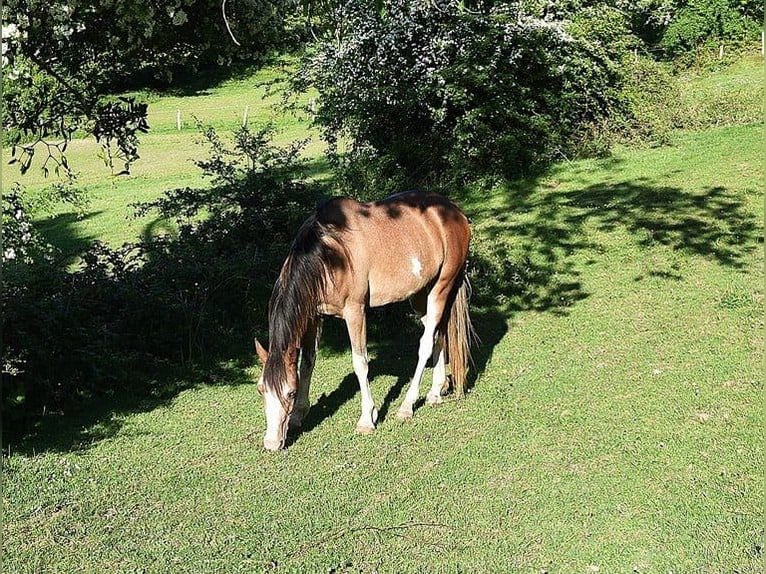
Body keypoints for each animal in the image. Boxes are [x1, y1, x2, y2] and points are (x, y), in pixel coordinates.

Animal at [254, 191, 475, 450]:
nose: (271, 443)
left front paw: (367, 419)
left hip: (442, 287)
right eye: (260, 389)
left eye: (289, 393)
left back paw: (407, 406)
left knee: (426, 345)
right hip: (421, 295)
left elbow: (360, 364)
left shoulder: (355, 312)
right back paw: (435, 393)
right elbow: (307, 363)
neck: (331, 254)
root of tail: (454, 211)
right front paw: (299, 414)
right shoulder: (314, 316)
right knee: (438, 335)